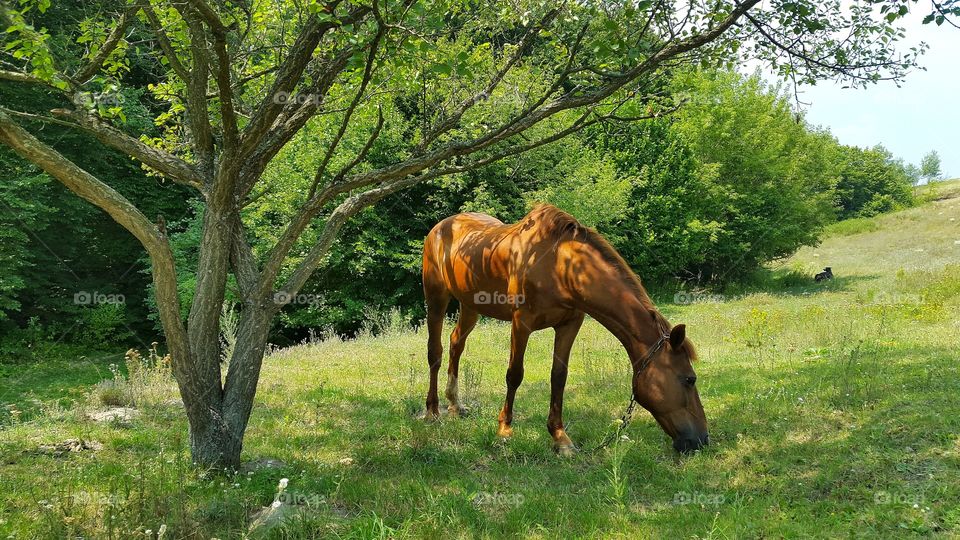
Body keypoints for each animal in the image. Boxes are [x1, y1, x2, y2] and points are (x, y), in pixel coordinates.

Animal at [420, 205, 704, 454]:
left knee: (456, 343)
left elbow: (559, 377)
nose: (701, 440)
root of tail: (441, 227)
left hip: (470, 306)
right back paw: (433, 412)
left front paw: (560, 438)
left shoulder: (570, 324)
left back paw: (455, 404)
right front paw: (504, 431)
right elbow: (514, 374)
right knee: (435, 352)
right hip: (436, 299)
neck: (560, 265)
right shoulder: (521, 323)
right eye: (689, 379)